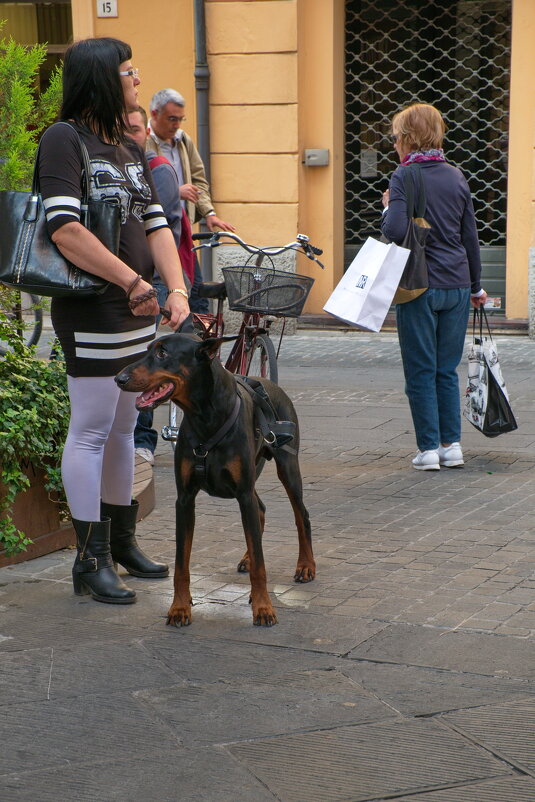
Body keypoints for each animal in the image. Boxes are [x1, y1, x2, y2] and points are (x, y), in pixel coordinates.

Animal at [115, 332, 316, 624]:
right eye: (148, 349)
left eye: (163, 353)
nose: (119, 378)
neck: (205, 418)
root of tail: (273, 385)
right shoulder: (185, 498)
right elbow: (181, 563)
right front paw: (179, 607)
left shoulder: (242, 493)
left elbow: (261, 563)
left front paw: (263, 607)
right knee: (260, 509)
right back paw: (247, 558)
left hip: (287, 467)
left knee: (301, 516)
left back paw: (306, 566)